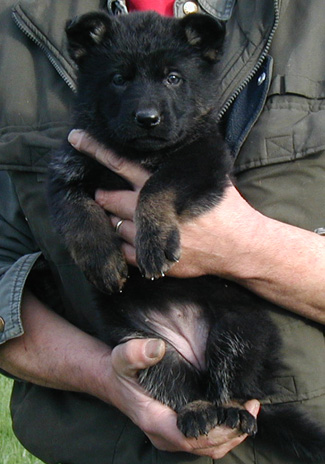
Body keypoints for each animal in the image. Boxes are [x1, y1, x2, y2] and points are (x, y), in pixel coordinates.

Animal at [47, 10, 324, 460]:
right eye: (118, 78)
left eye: (173, 78)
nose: (147, 118)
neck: (140, 152)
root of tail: (194, 352)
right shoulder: (68, 167)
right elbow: (76, 211)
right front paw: (102, 259)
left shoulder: (201, 157)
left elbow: (157, 186)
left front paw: (154, 240)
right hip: (148, 346)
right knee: (181, 387)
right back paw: (196, 411)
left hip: (240, 327)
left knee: (233, 384)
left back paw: (234, 411)